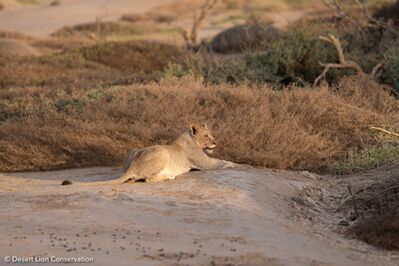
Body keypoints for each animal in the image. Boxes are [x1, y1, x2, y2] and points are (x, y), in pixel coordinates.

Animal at [62, 122, 236, 185]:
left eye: (211, 134)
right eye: (206, 135)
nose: (215, 142)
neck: (190, 139)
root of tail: (133, 165)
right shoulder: (205, 163)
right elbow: (223, 162)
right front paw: (236, 163)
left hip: (134, 151)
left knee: (135, 179)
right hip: (163, 153)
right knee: (148, 179)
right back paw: (168, 177)